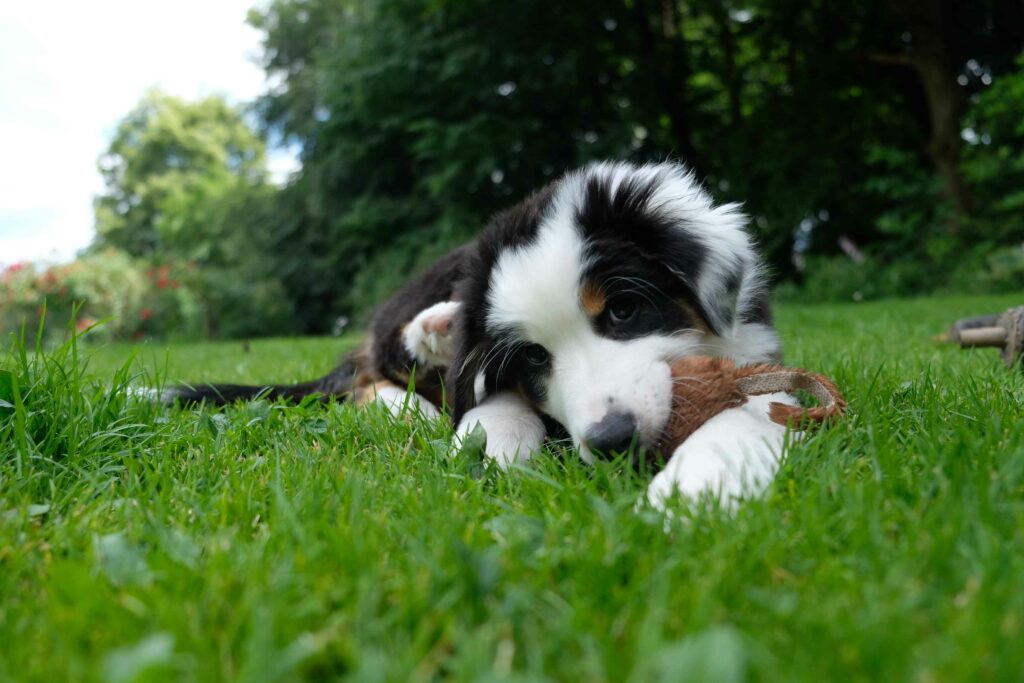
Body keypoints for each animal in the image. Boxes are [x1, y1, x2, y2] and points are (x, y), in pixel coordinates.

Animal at [174, 158, 782, 501]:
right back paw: (423, 366)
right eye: (535, 357)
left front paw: (698, 488)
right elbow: (493, 399)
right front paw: (495, 448)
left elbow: (757, 412)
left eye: (624, 311)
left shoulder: (754, 352)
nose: (611, 441)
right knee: (373, 374)